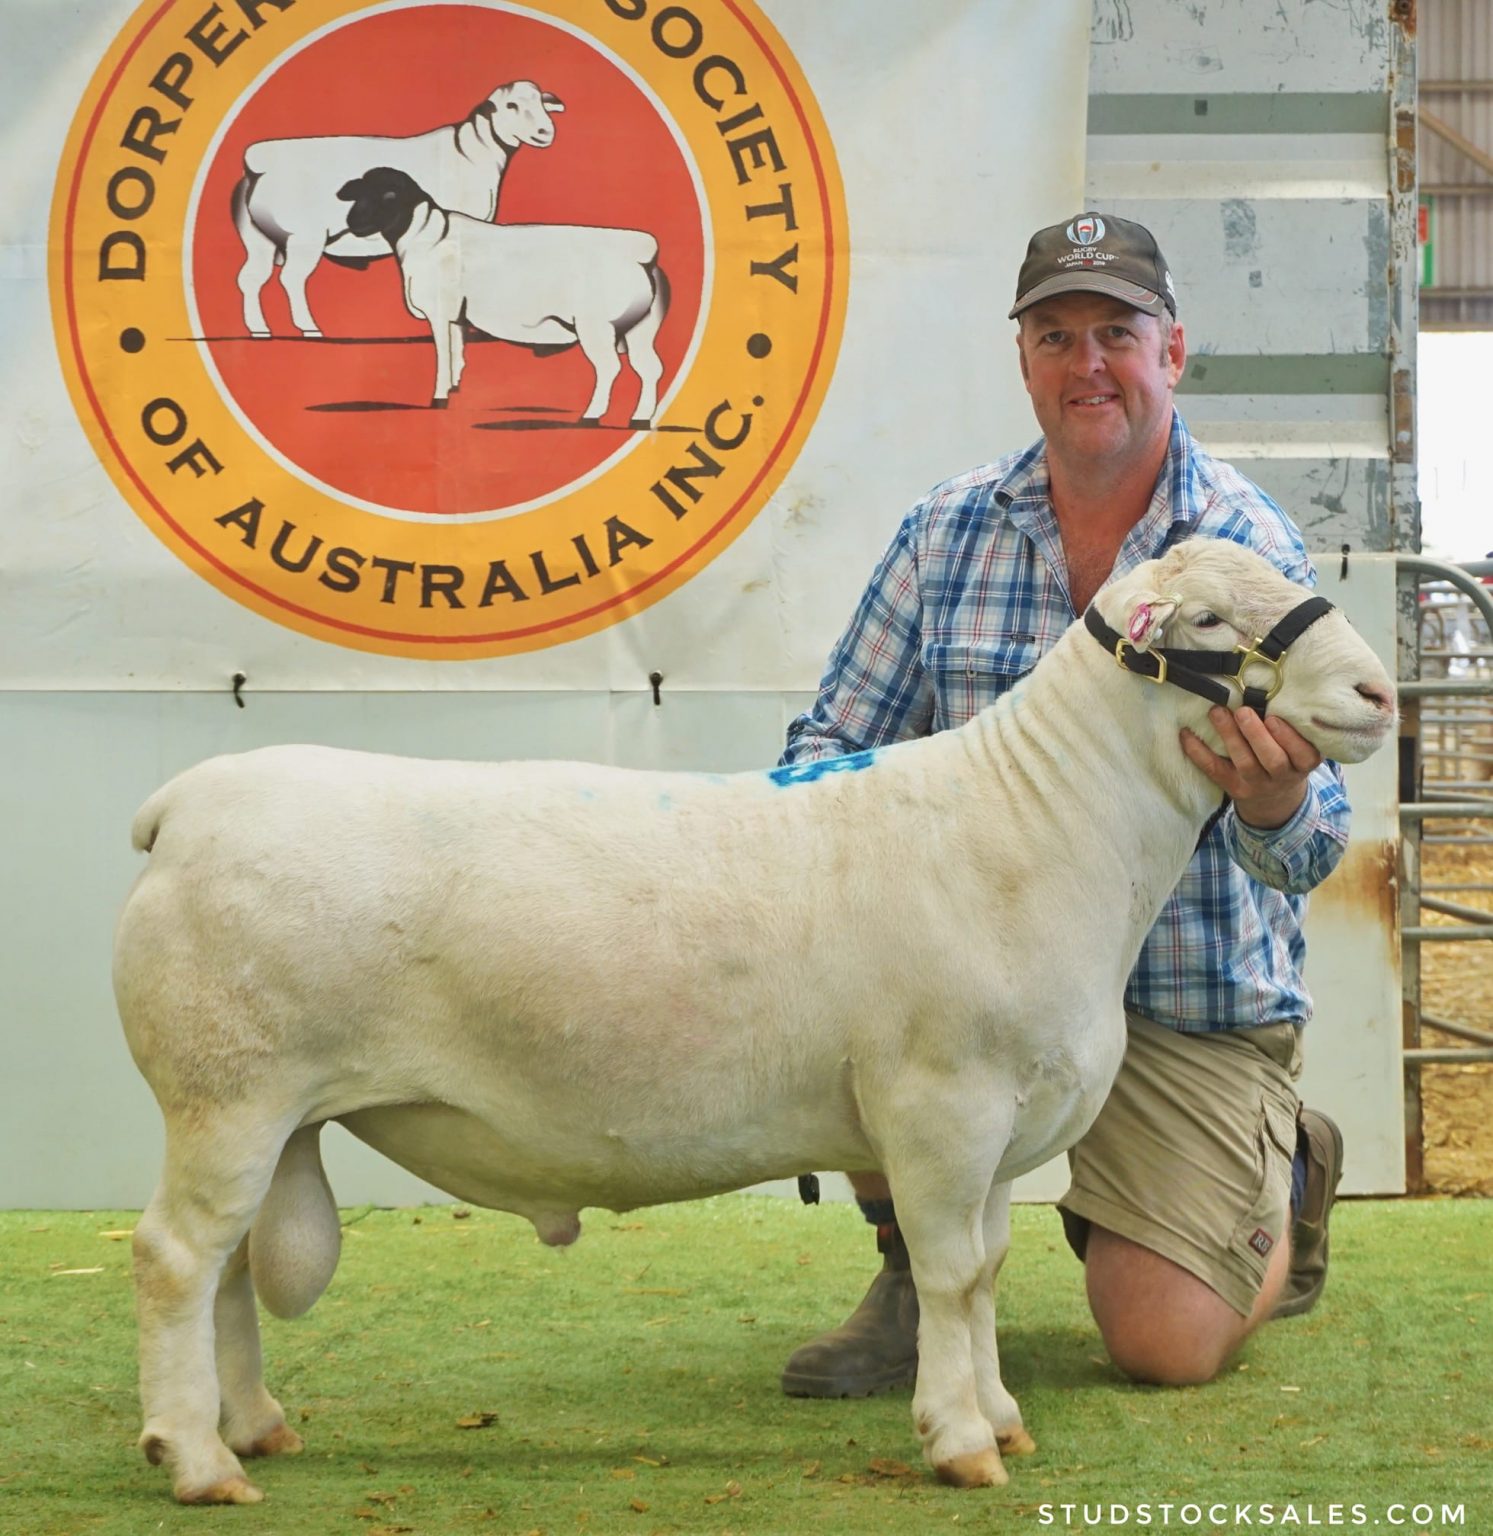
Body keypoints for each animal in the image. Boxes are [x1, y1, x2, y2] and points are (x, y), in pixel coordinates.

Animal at [114, 538, 1395, 1505]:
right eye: (1213, 621)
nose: (1379, 694)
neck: (1044, 818)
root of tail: (186, 805)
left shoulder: (997, 1131)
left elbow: (981, 1274)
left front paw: (998, 1417)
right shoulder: (940, 1107)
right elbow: (944, 1277)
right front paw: (958, 1444)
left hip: (266, 1111)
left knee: (231, 1267)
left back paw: (254, 1424)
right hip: (226, 1089)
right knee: (177, 1258)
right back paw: (197, 1461)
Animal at [232, 82, 564, 339]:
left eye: (542, 104)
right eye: (511, 105)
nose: (545, 131)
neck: (469, 153)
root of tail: (258, 161)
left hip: (259, 240)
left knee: (251, 279)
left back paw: (260, 330)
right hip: (305, 238)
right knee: (292, 279)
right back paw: (309, 328)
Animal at [334, 166, 668, 422]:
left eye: (390, 196)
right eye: (358, 194)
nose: (353, 223)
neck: (427, 237)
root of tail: (642, 251)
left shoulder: (439, 313)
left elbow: (443, 355)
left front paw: (439, 398)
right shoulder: (455, 316)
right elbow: (456, 351)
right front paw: (454, 389)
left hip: (595, 327)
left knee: (610, 368)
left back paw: (591, 416)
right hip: (641, 329)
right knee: (650, 369)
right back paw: (639, 419)